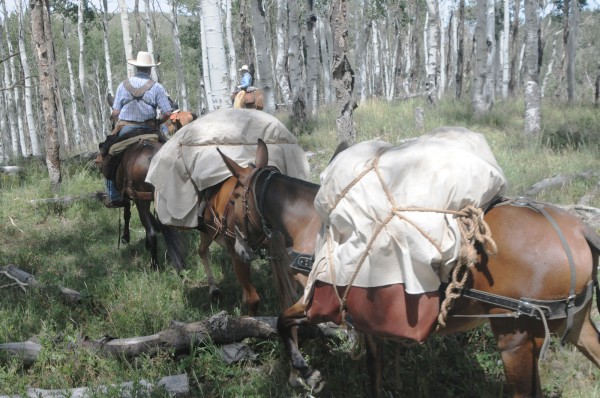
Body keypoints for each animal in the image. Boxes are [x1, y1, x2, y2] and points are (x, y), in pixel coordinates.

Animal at [219, 140, 600, 398]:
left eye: (234, 198)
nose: (238, 247)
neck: (313, 224)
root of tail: (579, 230)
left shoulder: (321, 301)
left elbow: (283, 322)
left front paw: (304, 372)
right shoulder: (367, 317)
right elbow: (373, 368)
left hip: (514, 335)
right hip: (574, 326)